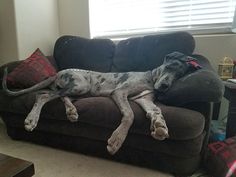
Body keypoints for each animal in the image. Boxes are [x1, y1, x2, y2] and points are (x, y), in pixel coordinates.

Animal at [1, 50, 201, 153]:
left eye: (179, 75)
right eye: (170, 66)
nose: (165, 86)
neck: (150, 79)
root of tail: (56, 73)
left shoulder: (143, 99)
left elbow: (156, 110)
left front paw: (159, 126)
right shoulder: (120, 92)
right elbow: (129, 115)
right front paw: (117, 139)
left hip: (82, 91)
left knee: (62, 96)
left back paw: (71, 112)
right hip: (81, 85)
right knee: (42, 96)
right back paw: (31, 119)